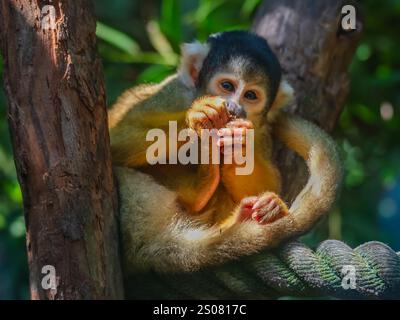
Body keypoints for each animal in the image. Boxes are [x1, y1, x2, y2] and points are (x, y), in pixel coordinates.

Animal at [108, 31, 340, 274]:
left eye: (250, 95)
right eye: (227, 85)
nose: (234, 108)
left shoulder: (260, 129)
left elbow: (267, 183)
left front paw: (238, 144)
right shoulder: (171, 95)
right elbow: (117, 137)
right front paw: (199, 115)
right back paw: (198, 192)